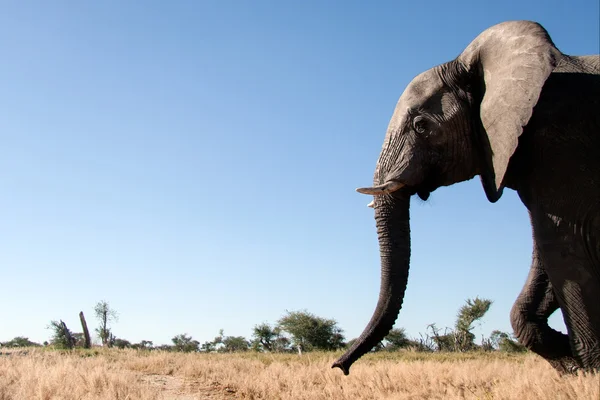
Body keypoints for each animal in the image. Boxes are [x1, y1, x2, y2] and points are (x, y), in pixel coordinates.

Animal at [332, 20, 600, 376]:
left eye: (421, 125)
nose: (339, 367)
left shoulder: (561, 142)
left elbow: (568, 246)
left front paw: (588, 372)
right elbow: (547, 256)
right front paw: (571, 367)